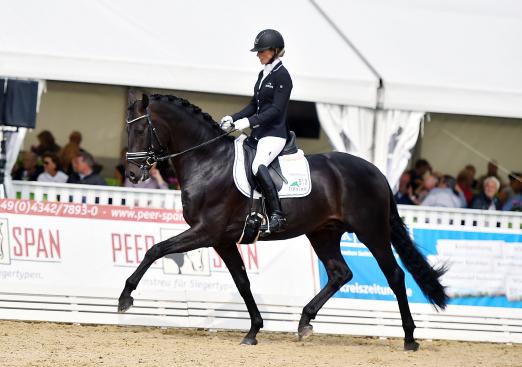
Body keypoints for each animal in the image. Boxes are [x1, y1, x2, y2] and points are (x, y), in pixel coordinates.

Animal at [119, 93, 446, 352]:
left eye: (140, 128)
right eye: (128, 128)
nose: (133, 174)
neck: (208, 161)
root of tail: (376, 171)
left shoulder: (206, 231)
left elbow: (156, 249)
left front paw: (125, 298)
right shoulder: (222, 240)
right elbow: (242, 282)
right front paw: (253, 330)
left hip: (372, 232)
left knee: (395, 276)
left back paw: (409, 338)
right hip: (323, 233)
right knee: (340, 273)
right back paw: (304, 321)